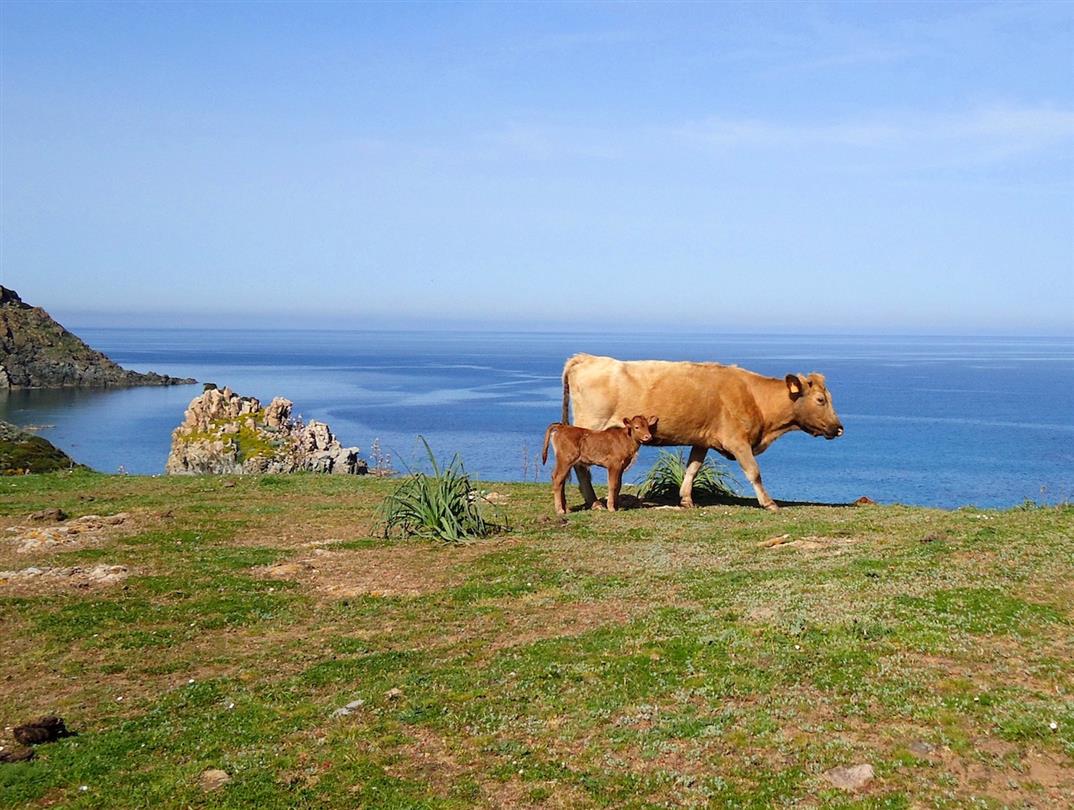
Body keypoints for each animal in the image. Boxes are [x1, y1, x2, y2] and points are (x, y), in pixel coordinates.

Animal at [561, 354, 844, 511]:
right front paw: (769, 503)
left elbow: (693, 468)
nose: (839, 428)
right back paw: (594, 501)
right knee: (581, 466)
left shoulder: (703, 439)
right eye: (820, 400)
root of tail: (586, 357)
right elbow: (754, 472)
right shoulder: (737, 441)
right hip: (590, 426)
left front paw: (686, 499)